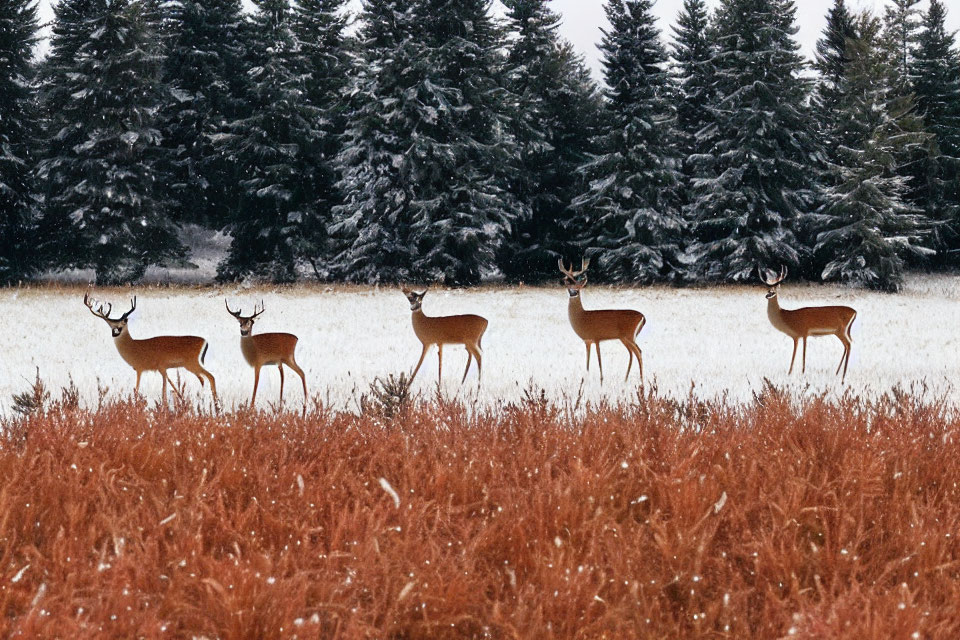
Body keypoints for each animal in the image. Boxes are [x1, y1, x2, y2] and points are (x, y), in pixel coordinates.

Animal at [84, 292, 218, 402]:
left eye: (123, 322)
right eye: (111, 325)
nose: (116, 331)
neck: (133, 347)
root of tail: (205, 341)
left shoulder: (146, 367)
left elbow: (142, 390)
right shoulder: (158, 368)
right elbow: (168, 387)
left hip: (192, 363)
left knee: (211, 377)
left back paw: (216, 404)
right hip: (190, 365)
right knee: (203, 379)